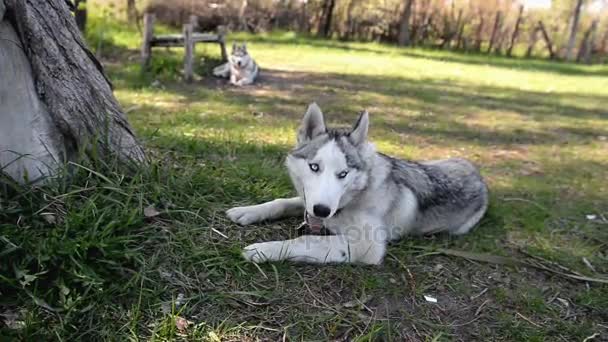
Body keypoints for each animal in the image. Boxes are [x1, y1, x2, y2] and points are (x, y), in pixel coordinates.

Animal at [228, 103, 490, 264]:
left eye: (343, 174)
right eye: (314, 167)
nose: (322, 211)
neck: (358, 194)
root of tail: (476, 172)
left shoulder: (367, 246)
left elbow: (307, 239)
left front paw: (264, 249)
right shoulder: (312, 202)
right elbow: (282, 202)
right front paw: (248, 211)